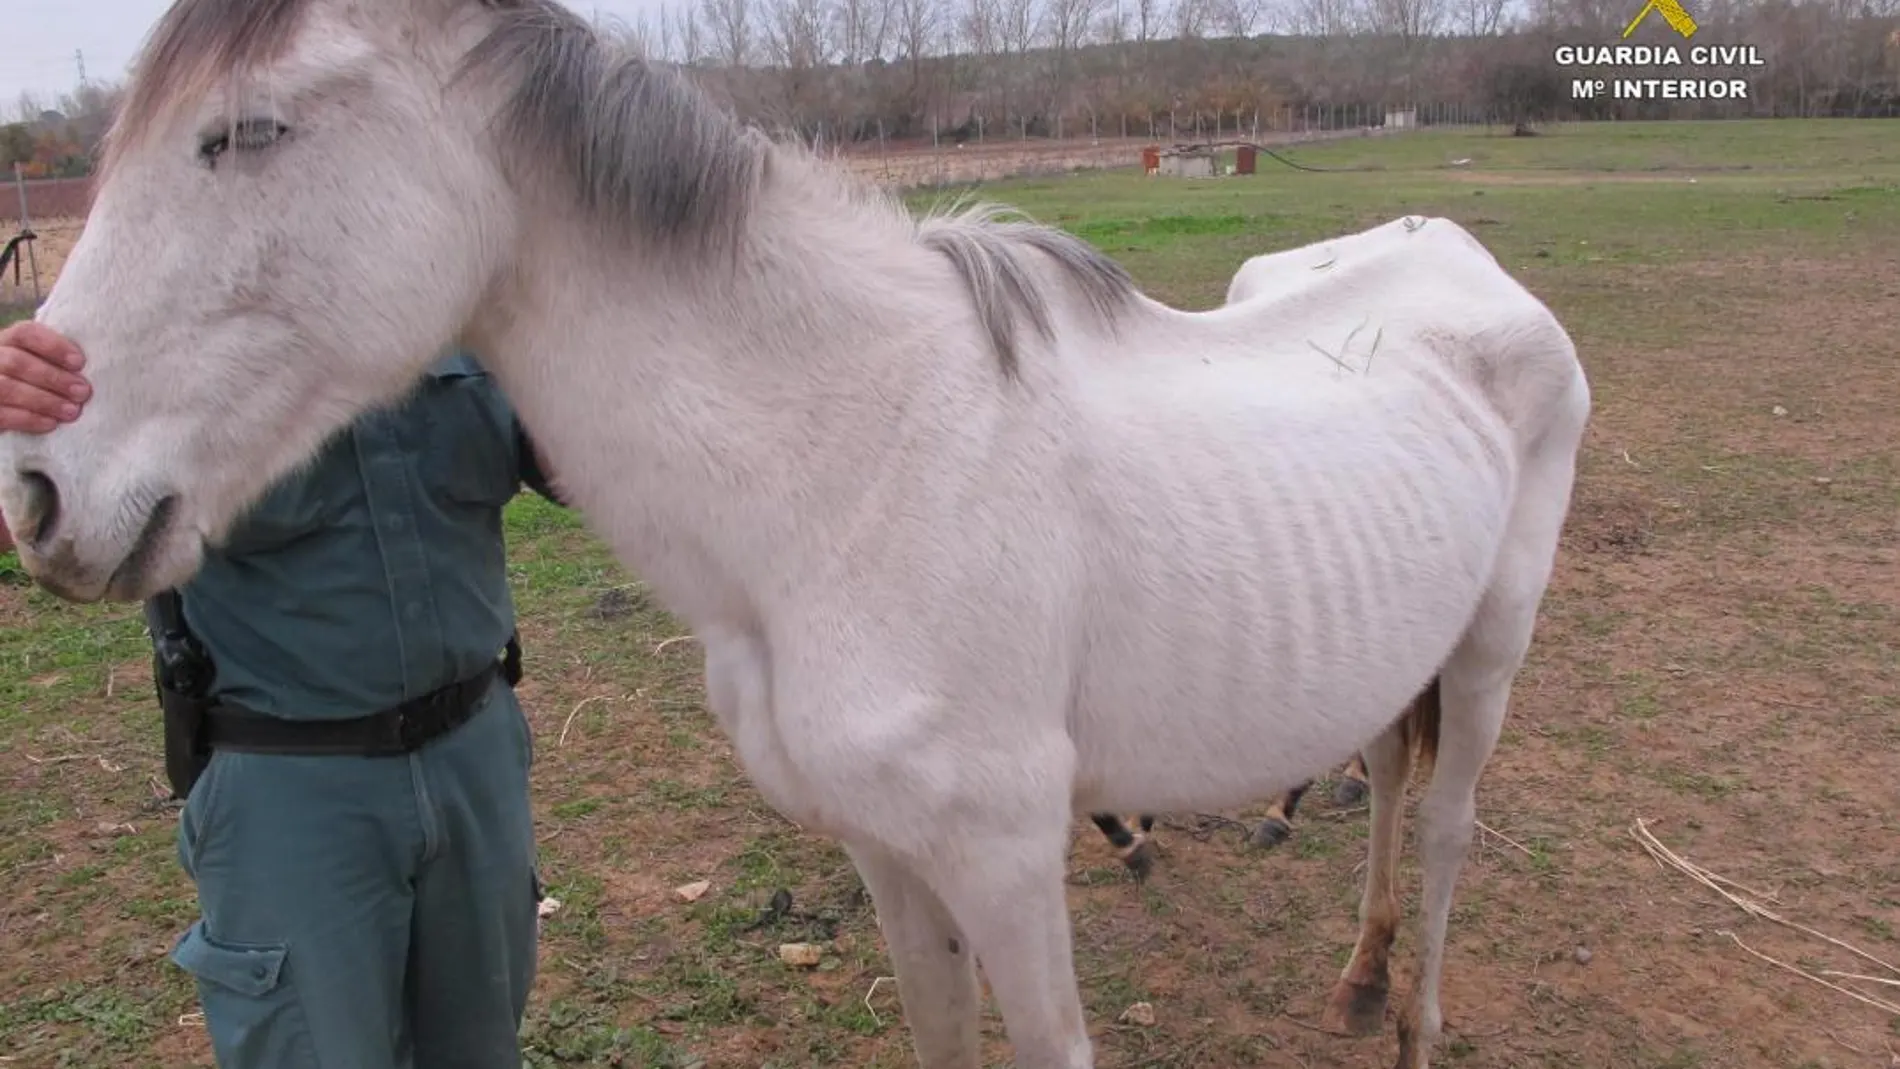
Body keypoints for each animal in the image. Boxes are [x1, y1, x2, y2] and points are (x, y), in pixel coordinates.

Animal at [0, 2, 1590, 1067]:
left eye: (244, 131)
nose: (40, 491)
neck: (854, 470)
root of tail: (1461, 259)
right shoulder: (890, 854)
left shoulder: (1008, 858)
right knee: (1385, 779)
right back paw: (1362, 983)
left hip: (1493, 652)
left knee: (1444, 825)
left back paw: (1415, 1020)